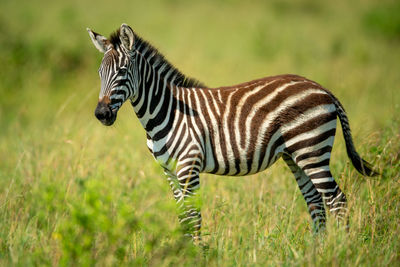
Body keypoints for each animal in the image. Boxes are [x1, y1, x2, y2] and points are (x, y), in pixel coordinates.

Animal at [87, 24, 378, 242]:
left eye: (122, 71)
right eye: (99, 73)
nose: (101, 114)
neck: (166, 110)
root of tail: (322, 88)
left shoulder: (188, 166)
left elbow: (194, 217)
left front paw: (197, 256)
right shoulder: (168, 171)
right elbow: (183, 218)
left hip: (311, 150)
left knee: (337, 200)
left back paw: (341, 249)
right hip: (296, 156)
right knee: (316, 203)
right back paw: (315, 253)